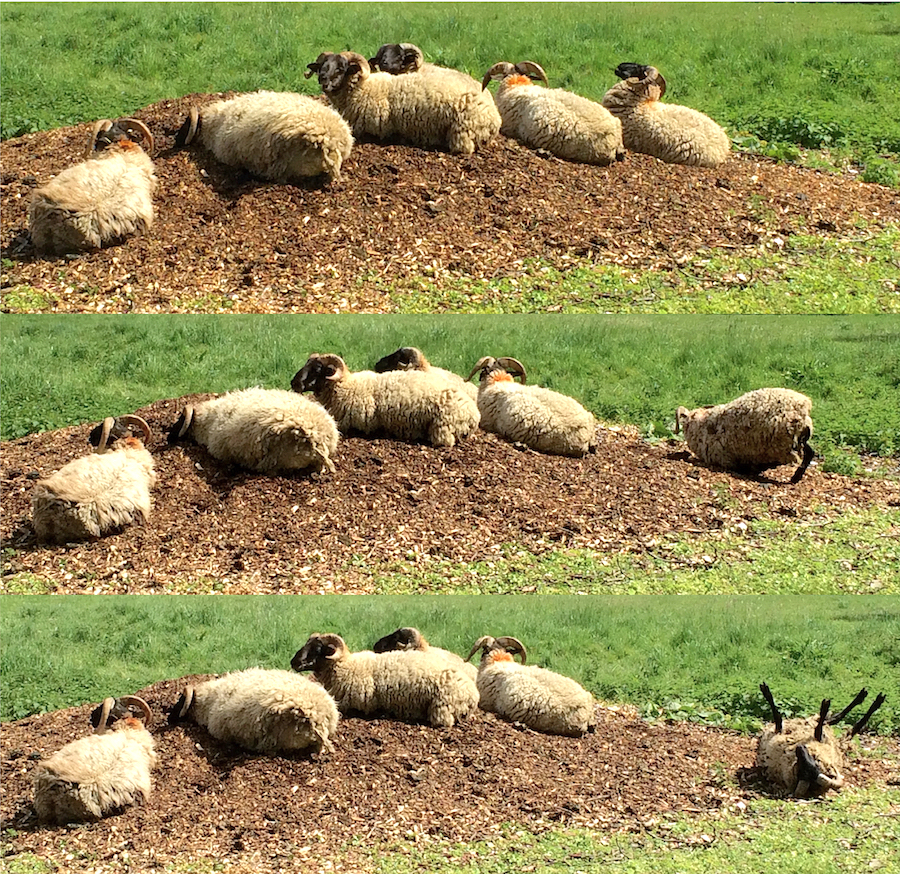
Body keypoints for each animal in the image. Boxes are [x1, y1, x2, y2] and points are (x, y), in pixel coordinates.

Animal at [305, 51, 500, 155]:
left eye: (340, 68)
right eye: (322, 66)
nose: (323, 80)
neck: (363, 88)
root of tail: (496, 117)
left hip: (462, 132)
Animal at [674, 387, 814, 482]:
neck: (700, 428)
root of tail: (802, 407)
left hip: (784, 444)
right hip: (801, 437)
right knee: (809, 453)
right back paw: (795, 478)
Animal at [756, 683, 886, 797]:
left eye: (812, 766)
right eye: (805, 768)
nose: (800, 747)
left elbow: (779, 718)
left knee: (829, 722)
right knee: (834, 721)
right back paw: (866, 698)